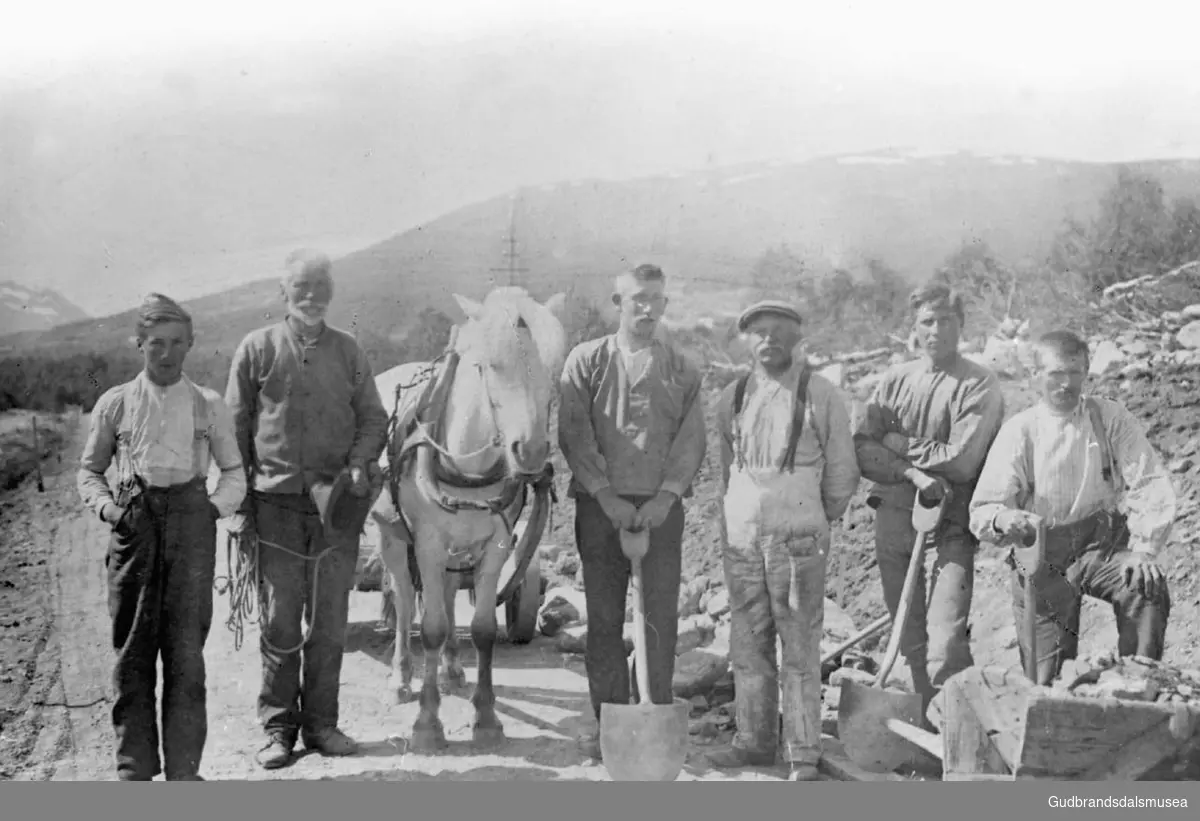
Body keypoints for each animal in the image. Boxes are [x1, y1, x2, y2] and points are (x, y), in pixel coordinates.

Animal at [364, 286, 566, 748]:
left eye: (553, 369)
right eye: (489, 365)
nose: (530, 452)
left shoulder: (495, 543)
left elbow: (482, 628)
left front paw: (486, 717)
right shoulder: (426, 542)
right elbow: (432, 627)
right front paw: (427, 723)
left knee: (449, 590)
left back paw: (453, 669)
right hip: (391, 536)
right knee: (405, 599)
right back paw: (402, 677)